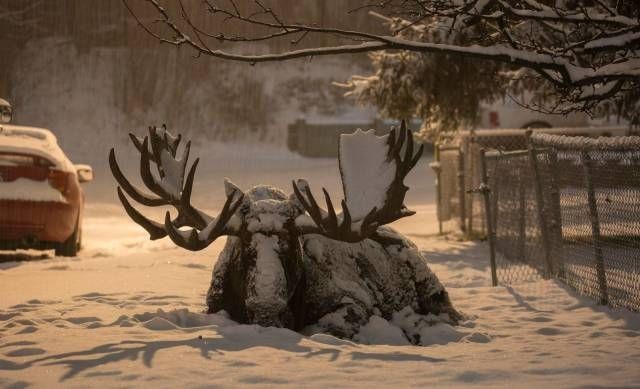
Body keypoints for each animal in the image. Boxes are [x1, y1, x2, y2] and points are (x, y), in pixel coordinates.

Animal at [111, 120, 460, 340]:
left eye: (292, 247)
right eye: (245, 250)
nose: (267, 309)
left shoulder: (356, 300)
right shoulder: (214, 305)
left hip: (434, 290)